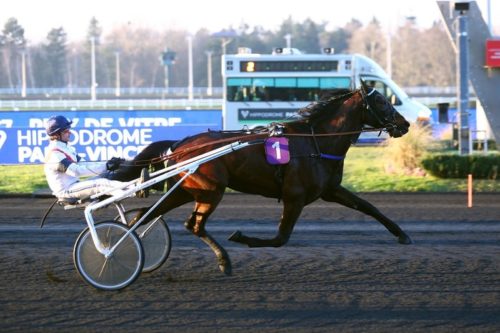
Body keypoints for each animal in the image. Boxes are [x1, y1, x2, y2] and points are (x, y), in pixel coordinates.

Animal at [117, 84, 410, 274]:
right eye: (382, 101)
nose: (405, 125)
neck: (315, 142)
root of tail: (179, 144)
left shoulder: (330, 189)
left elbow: (368, 207)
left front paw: (402, 234)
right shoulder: (295, 197)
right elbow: (281, 238)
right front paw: (241, 237)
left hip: (187, 190)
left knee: (145, 214)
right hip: (211, 190)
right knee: (193, 225)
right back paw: (223, 261)